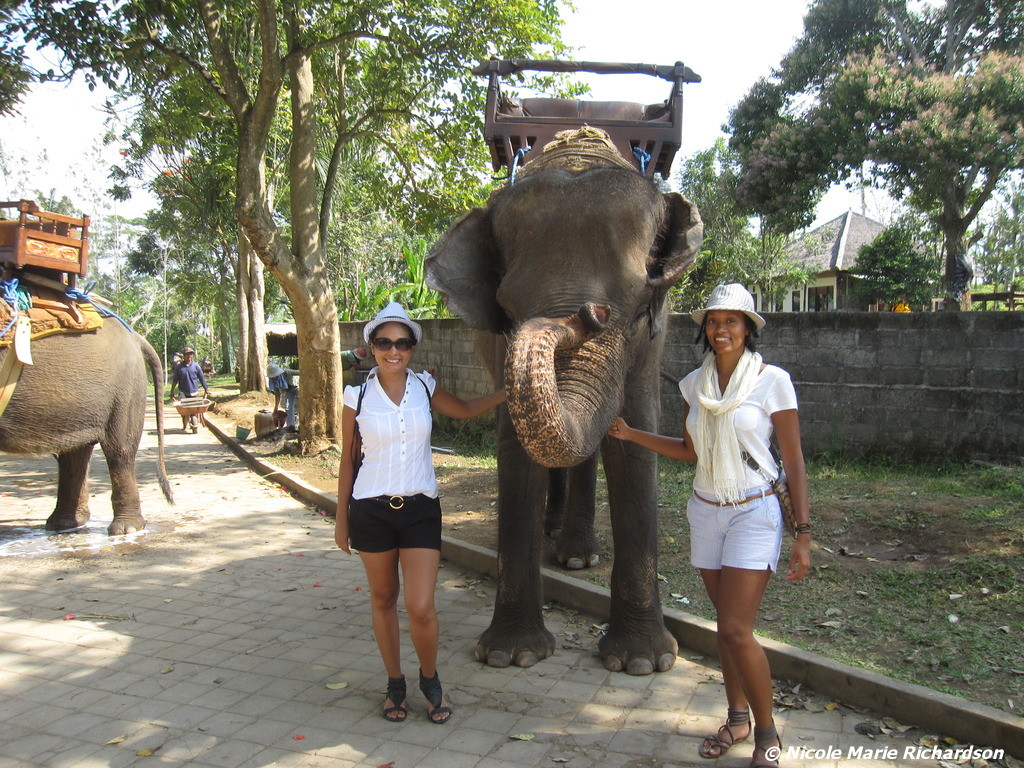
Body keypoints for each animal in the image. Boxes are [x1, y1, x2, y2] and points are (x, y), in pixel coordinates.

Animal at [0, 316, 173, 535]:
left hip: (124, 390)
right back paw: (64, 525)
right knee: (74, 454)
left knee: (119, 450)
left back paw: (126, 529)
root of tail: (134, 335)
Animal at [426, 128, 702, 675]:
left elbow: (636, 444)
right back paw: (553, 535)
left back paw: (576, 555)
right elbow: (516, 452)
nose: (588, 313)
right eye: (507, 309)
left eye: (639, 304)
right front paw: (510, 655)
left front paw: (644, 663)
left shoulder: (653, 341)